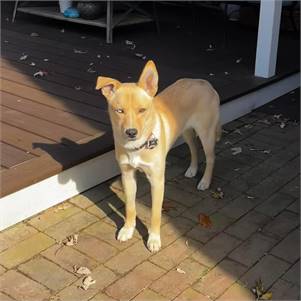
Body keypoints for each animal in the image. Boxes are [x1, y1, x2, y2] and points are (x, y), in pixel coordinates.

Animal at [96, 60, 220, 251]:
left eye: (142, 110)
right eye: (119, 111)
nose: (131, 132)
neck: (137, 147)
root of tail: (205, 82)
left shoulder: (157, 181)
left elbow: (155, 214)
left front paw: (153, 239)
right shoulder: (127, 176)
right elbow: (130, 207)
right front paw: (128, 229)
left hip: (206, 133)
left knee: (211, 157)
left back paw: (205, 181)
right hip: (185, 131)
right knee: (193, 148)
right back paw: (192, 170)